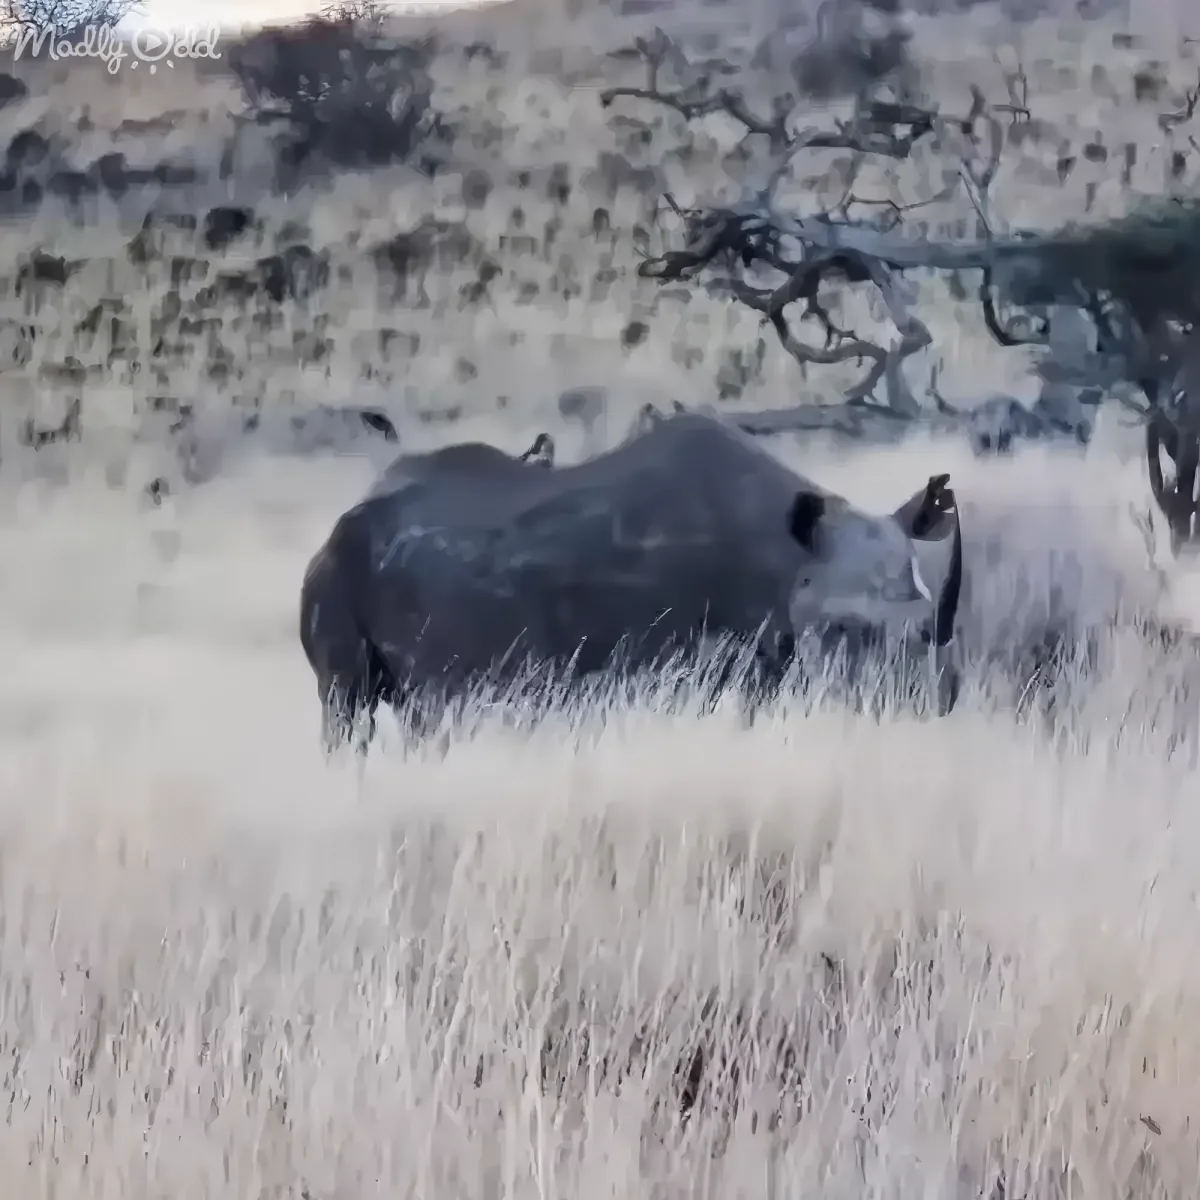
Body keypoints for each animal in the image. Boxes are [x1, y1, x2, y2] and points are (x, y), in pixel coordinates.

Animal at [299, 412, 963, 752]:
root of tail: (337, 526)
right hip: (336, 578)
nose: (917, 705)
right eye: (841, 630)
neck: (790, 555)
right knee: (349, 707)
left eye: (928, 628)